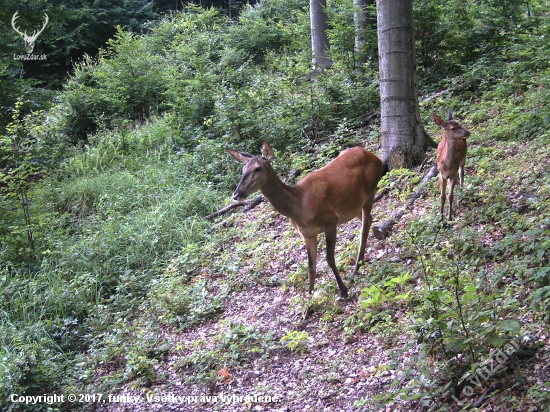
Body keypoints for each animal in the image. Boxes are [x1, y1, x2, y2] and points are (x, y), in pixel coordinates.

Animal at [229, 141, 384, 296]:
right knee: (369, 219)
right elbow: (311, 266)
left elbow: (329, 259)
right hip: (355, 204)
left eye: (258, 168)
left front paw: (344, 291)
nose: (236, 194)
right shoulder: (307, 234)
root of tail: (375, 157)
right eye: (243, 169)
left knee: (364, 228)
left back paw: (356, 268)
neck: (299, 207)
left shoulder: (331, 219)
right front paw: (310, 299)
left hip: (371, 189)